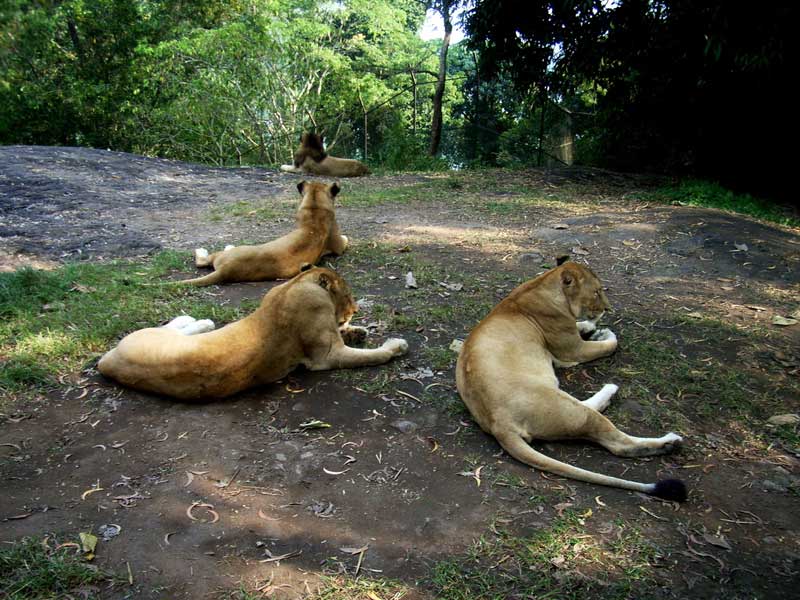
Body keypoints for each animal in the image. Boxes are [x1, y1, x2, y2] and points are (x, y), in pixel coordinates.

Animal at [97, 266, 410, 398]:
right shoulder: (326, 356)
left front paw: (358, 331)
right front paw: (395, 346)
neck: (296, 283)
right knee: (175, 325)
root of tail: (108, 362)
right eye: (349, 294)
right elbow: (370, 356)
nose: (355, 308)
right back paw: (200, 320)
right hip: (155, 336)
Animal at [456, 260, 688, 500]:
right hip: (570, 409)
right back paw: (669, 442)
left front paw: (591, 328)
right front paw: (604, 333)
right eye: (596, 291)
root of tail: (498, 424)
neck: (542, 286)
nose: (607, 309)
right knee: (618, 444)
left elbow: (582, 327)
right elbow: (609, 345)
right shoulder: (572, 352)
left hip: (565, 404)